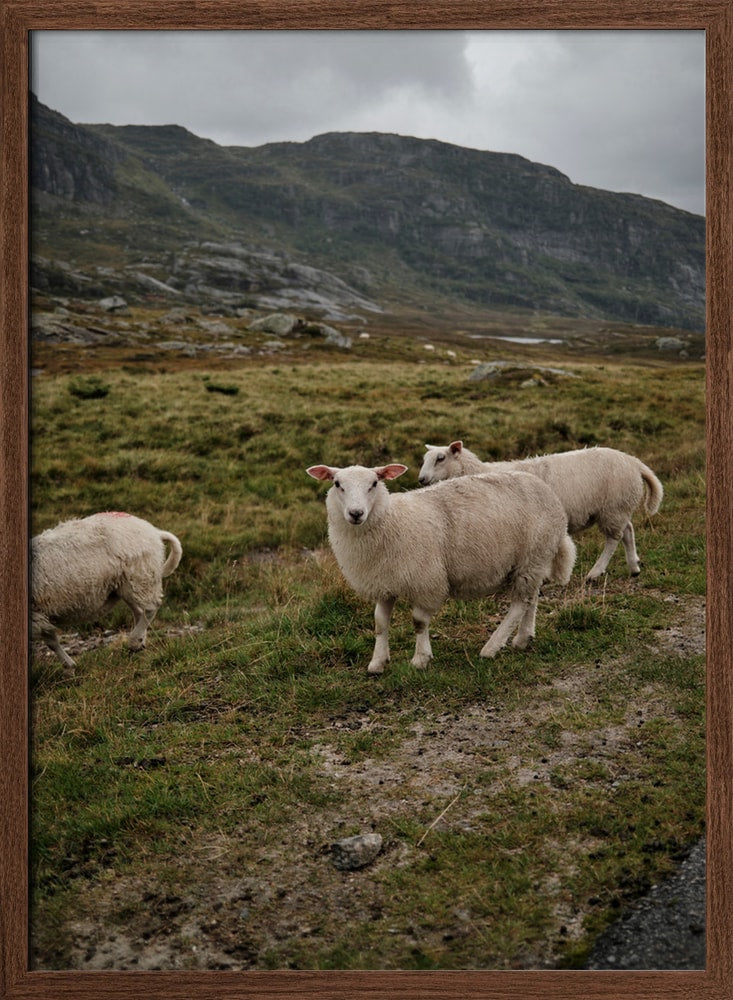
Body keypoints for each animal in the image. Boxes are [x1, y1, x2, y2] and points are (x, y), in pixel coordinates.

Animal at [31, 511, 182, 674]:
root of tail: (153, 531)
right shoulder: (40, 614)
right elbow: (51, 641)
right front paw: (69, 667)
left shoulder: (36, 615)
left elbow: (51, 642)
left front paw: (69, 666)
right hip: (125, 585)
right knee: (139, 611)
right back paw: (140, 641)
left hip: (138, 576)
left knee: (150, 608)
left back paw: (134, 641)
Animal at [306, 463, 576, 673]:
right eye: (337, 484)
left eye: (374, 483)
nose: (356, 513)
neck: (392, 521)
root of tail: (547, 491)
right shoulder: (384, 582)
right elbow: (380, 623)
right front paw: (377, 662)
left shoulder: (426, 581)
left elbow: (418, 622)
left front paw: (420, 659)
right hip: (533, 562)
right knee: (531, 598)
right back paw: (522, 638)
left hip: (532, 555)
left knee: (519, 604)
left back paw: (491, 647)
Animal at [418, 441, 663, 582]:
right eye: (424, 459)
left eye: (440, 458)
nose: (421, 479)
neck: (479, 471)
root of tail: (633, 461)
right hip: (618, 508)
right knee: (628, 531)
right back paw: (634, 566)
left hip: (613, 507)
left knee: (614, 539)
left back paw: (596, 572)